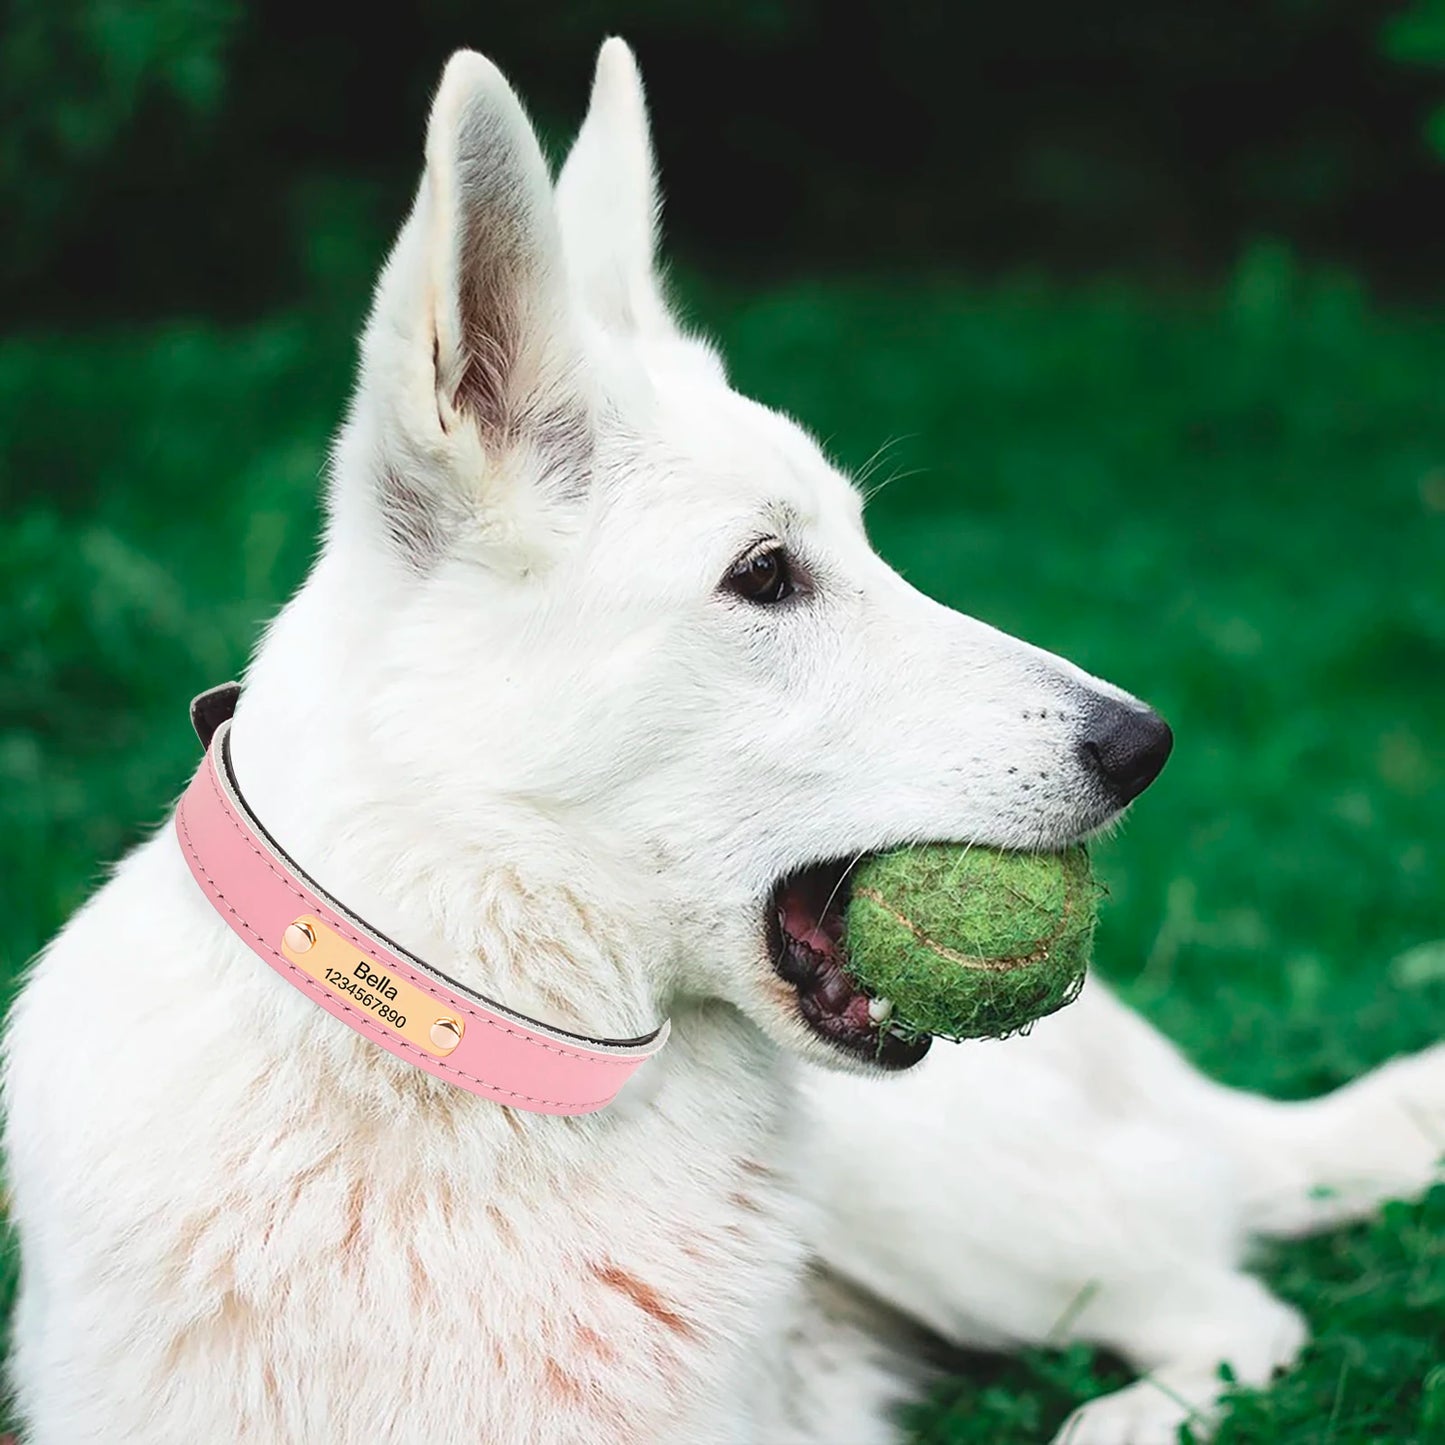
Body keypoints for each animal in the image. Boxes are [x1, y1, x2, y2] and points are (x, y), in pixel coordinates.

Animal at [5, 39, 1439, 1439]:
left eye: (864, 542)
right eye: (765, 575)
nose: (1145, 742)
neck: (459, 1057)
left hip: (943, 1201)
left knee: (1235, 1309)